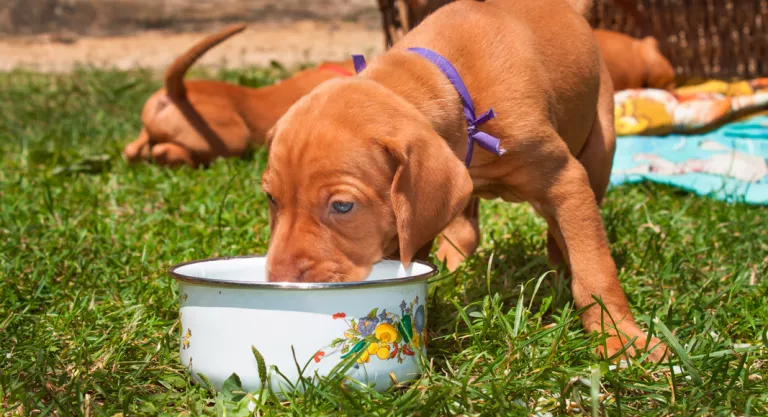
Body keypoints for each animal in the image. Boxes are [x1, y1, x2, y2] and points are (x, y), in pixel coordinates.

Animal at [262, 0, 664, 360]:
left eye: (343, 206)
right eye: (271, 199)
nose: (277, 279)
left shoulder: (565, 178)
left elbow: (595, 268)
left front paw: (620, 337)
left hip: (599, 148)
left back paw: (558, 261)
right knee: (466, 228)